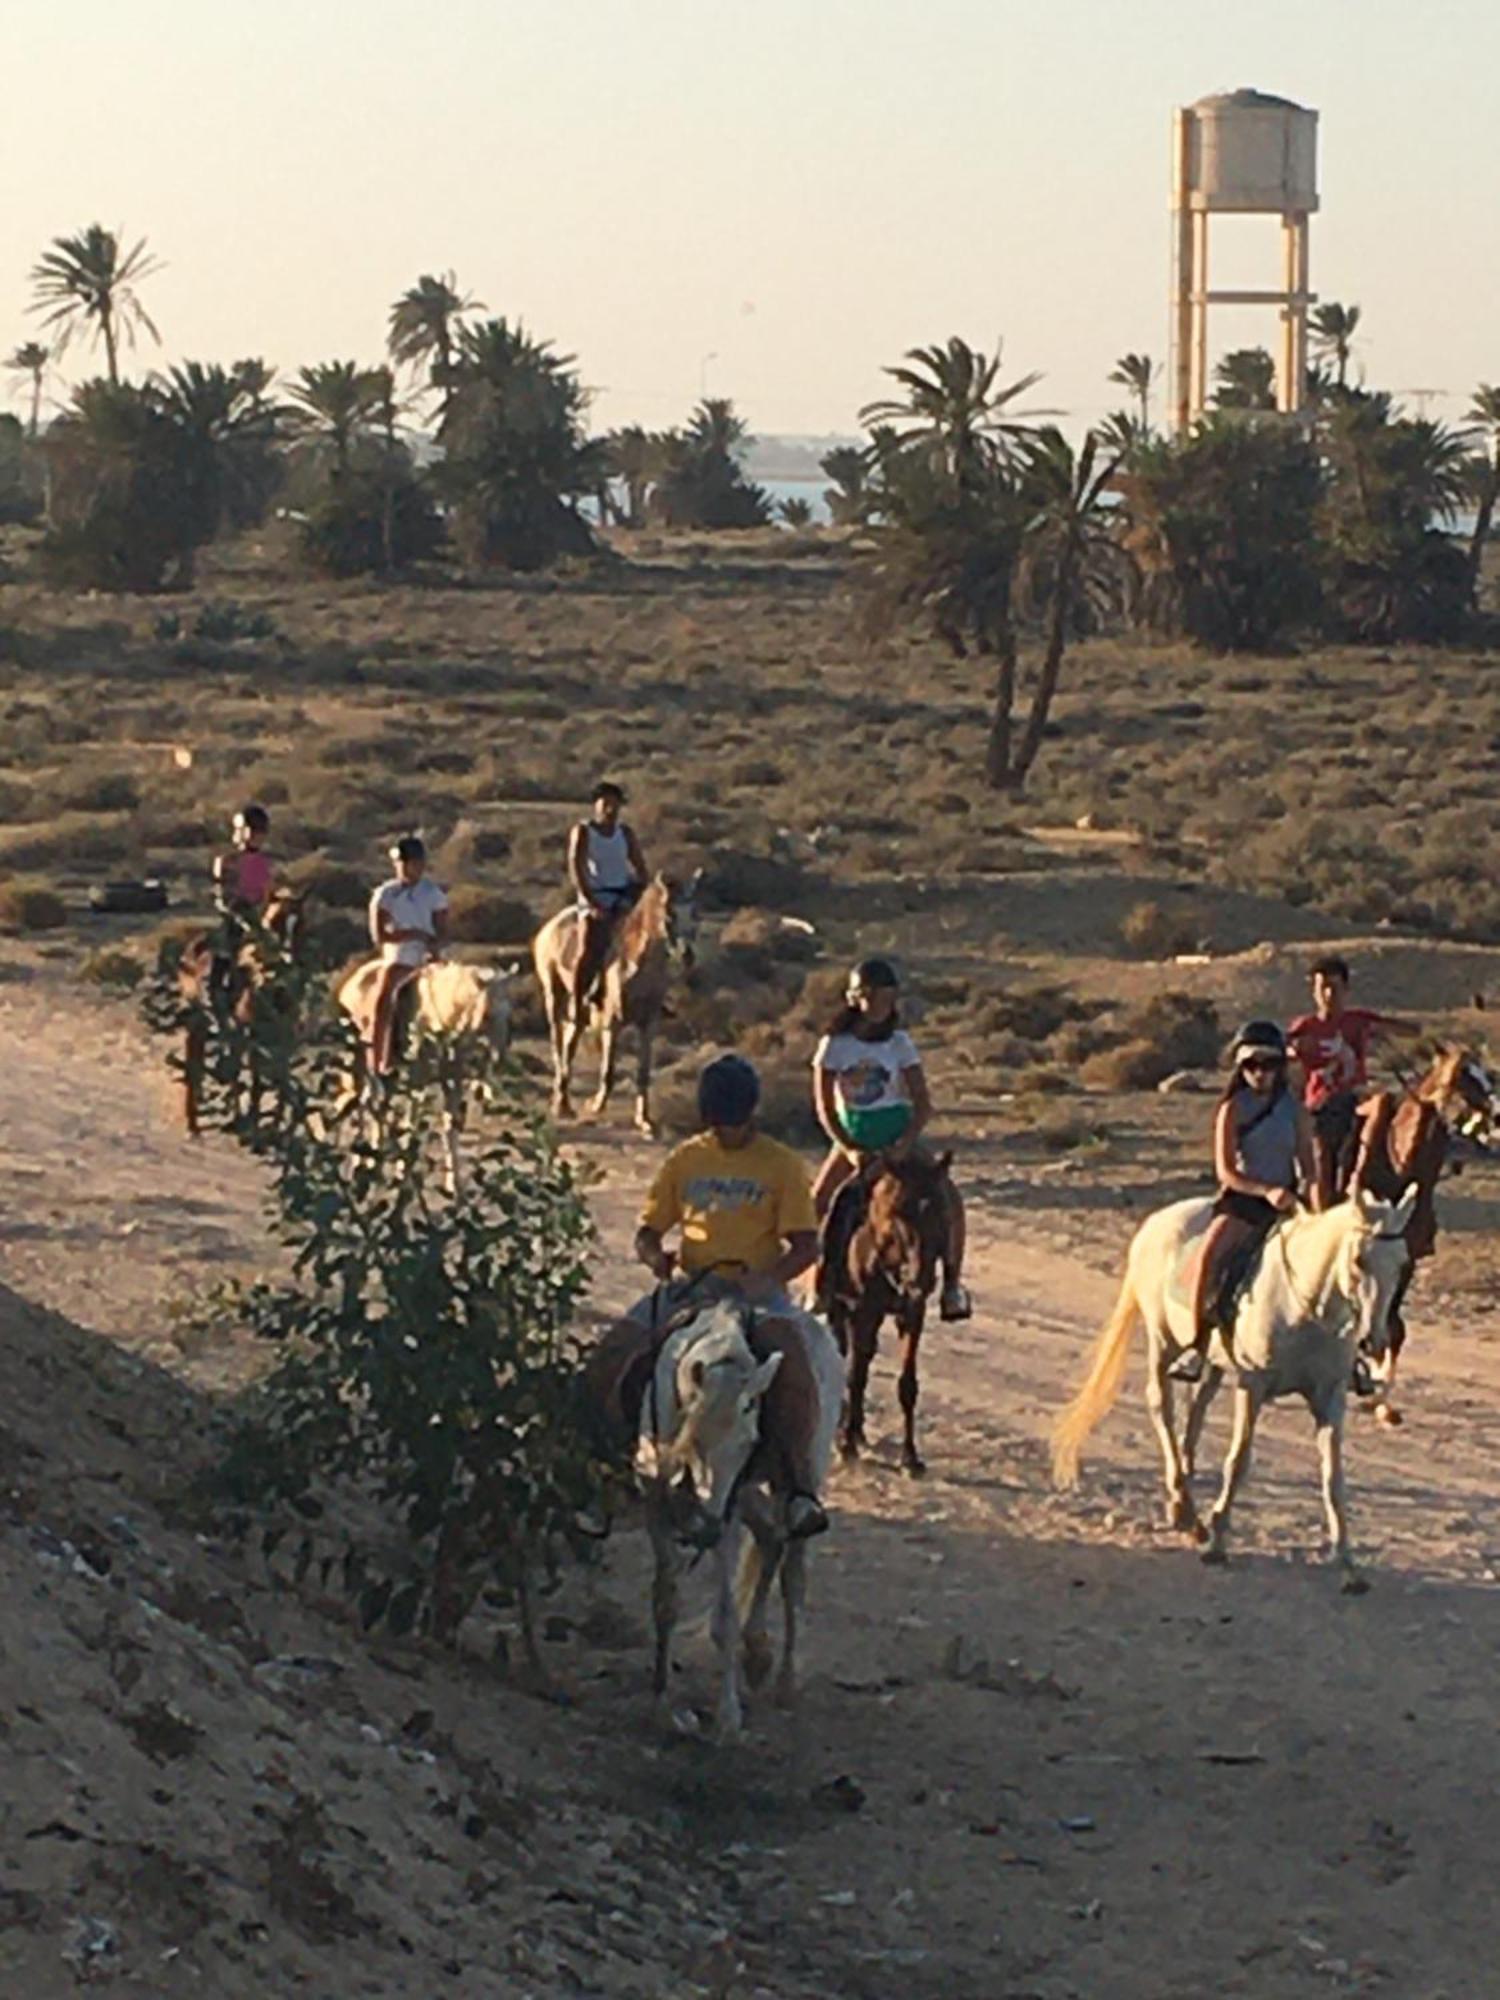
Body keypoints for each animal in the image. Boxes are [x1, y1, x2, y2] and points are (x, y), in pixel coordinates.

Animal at [536, 876, 704, 1144]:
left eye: (695, 914)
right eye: (670, 915)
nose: (687, 955)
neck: (636, 966)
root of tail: (551, 926)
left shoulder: (648, 1025)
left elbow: (643, 1072)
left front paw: (645, 1122)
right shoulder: (612, 1023)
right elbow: (609, 1070)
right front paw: (595, 1106)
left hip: (579, 1012)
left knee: (570, 1043)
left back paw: (563, 1101)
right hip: (555, 996)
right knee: (558, 1045)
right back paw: (562, 1104)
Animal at [636, 1296, 848, 1736]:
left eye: (750, 1440)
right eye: (695, 1439)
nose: (703, 1526)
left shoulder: (728, 1510)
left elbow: (725, 1618)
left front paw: (728, 1716)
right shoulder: (656, 1504)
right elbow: (665, 1599)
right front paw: (660, 1698)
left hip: (801, 1478)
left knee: (792, 1573)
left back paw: (784, 1681)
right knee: (770, 1537)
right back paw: (757, 1655)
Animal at [824, 1152, 952, 1480]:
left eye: (940, 1210)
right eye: (899, 1212)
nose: (921, 1278)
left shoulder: (912, 1313)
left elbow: (907, 1384)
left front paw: (910, 1457)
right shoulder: (862, 1310)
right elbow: (855, 1375)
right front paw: (846, 1445)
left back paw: (857, 1430)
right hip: (842, 1310)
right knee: (845, 1355)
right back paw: (845, 1430)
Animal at [1048, 1184, 1416, 1592]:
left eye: (1402, 1264)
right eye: (1359, 1260)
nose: (1373, 1341)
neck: (1304, 1307)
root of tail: (1156, 1221)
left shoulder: (1330, 1396)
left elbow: (1333, 1478)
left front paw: (1348, 1565)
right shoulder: (1252, 1385)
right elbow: (1238, 1461)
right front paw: (1218, 1543)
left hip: (1212, 1363)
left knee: (1197, 1407)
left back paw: (1183, 1501)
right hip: (1163, 1341)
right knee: (1162, 1406)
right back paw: (1187, 1508)